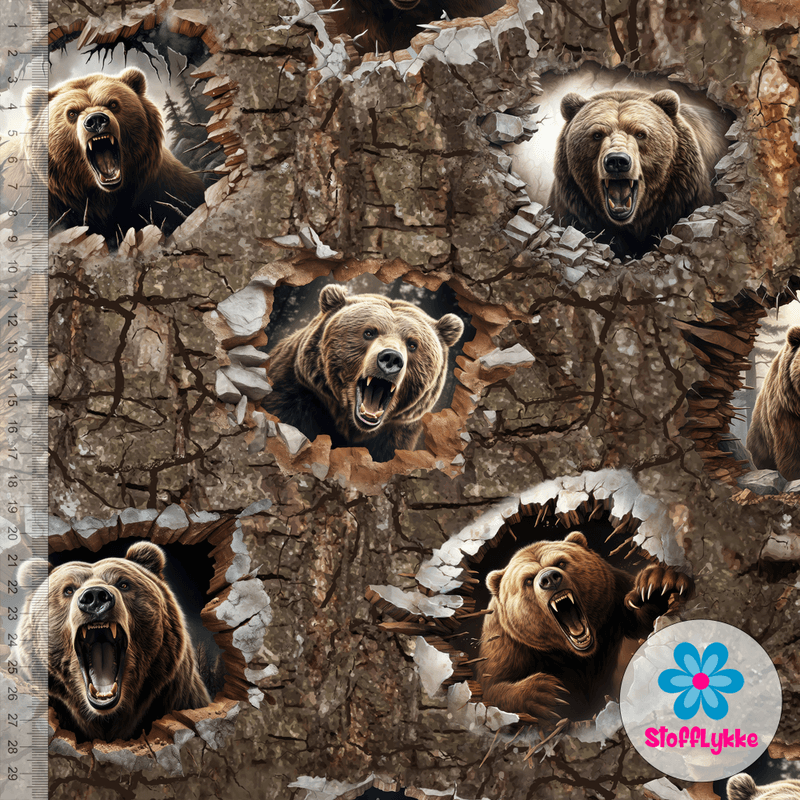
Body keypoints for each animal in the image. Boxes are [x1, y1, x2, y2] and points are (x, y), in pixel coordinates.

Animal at [478, 531, 693, 725]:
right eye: (528, 580)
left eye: (561, 562)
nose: (550, 578)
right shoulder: (507, 642)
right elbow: (492, 685)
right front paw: (548, 694)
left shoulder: (613, 604)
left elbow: (642, 621)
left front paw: (656, 584)